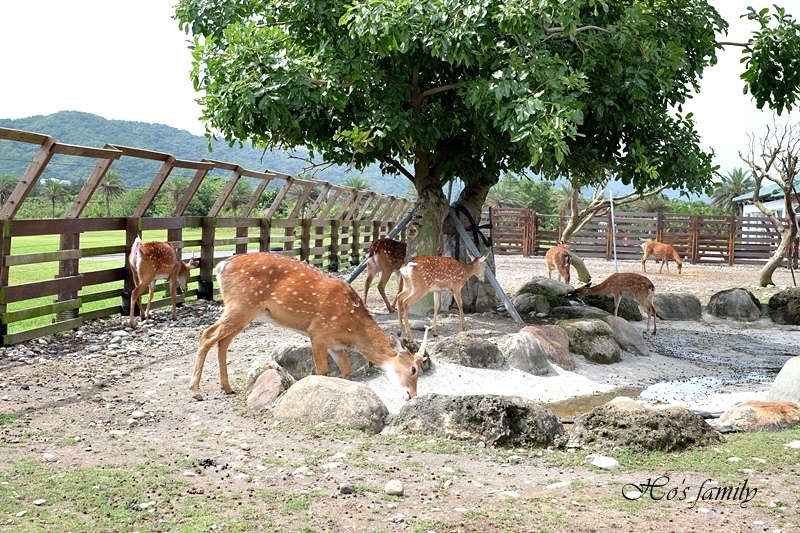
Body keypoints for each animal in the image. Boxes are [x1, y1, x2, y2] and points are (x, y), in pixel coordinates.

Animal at [189, 252, 424, 400]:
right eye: (413, 369)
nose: (412, 395)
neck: (352, 329)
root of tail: (221, 266)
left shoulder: (335, 345)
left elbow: (347, 371)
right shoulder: (318, 332)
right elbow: (322, 371)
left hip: (247, 312)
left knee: (222, 341)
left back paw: (227, 388)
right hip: (241, 305)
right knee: (207, 334)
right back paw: (196, 391)